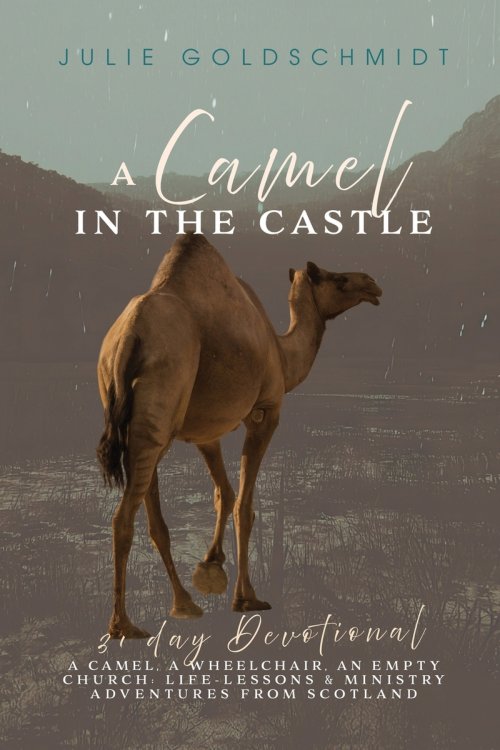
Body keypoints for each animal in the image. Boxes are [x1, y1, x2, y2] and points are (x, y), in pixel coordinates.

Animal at [97, 232, 382, 638]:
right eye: (338, 279)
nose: (372, 283)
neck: (282, 353)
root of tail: (128, 338)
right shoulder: (266, 411)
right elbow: (244, 505)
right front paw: (246, 598)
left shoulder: (206, 433)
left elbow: (224, 493)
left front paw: (211, 565)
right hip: (159, 408)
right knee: (123, 517)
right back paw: (123, 625)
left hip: (141, 418)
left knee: (154, 518)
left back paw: (184, 604)